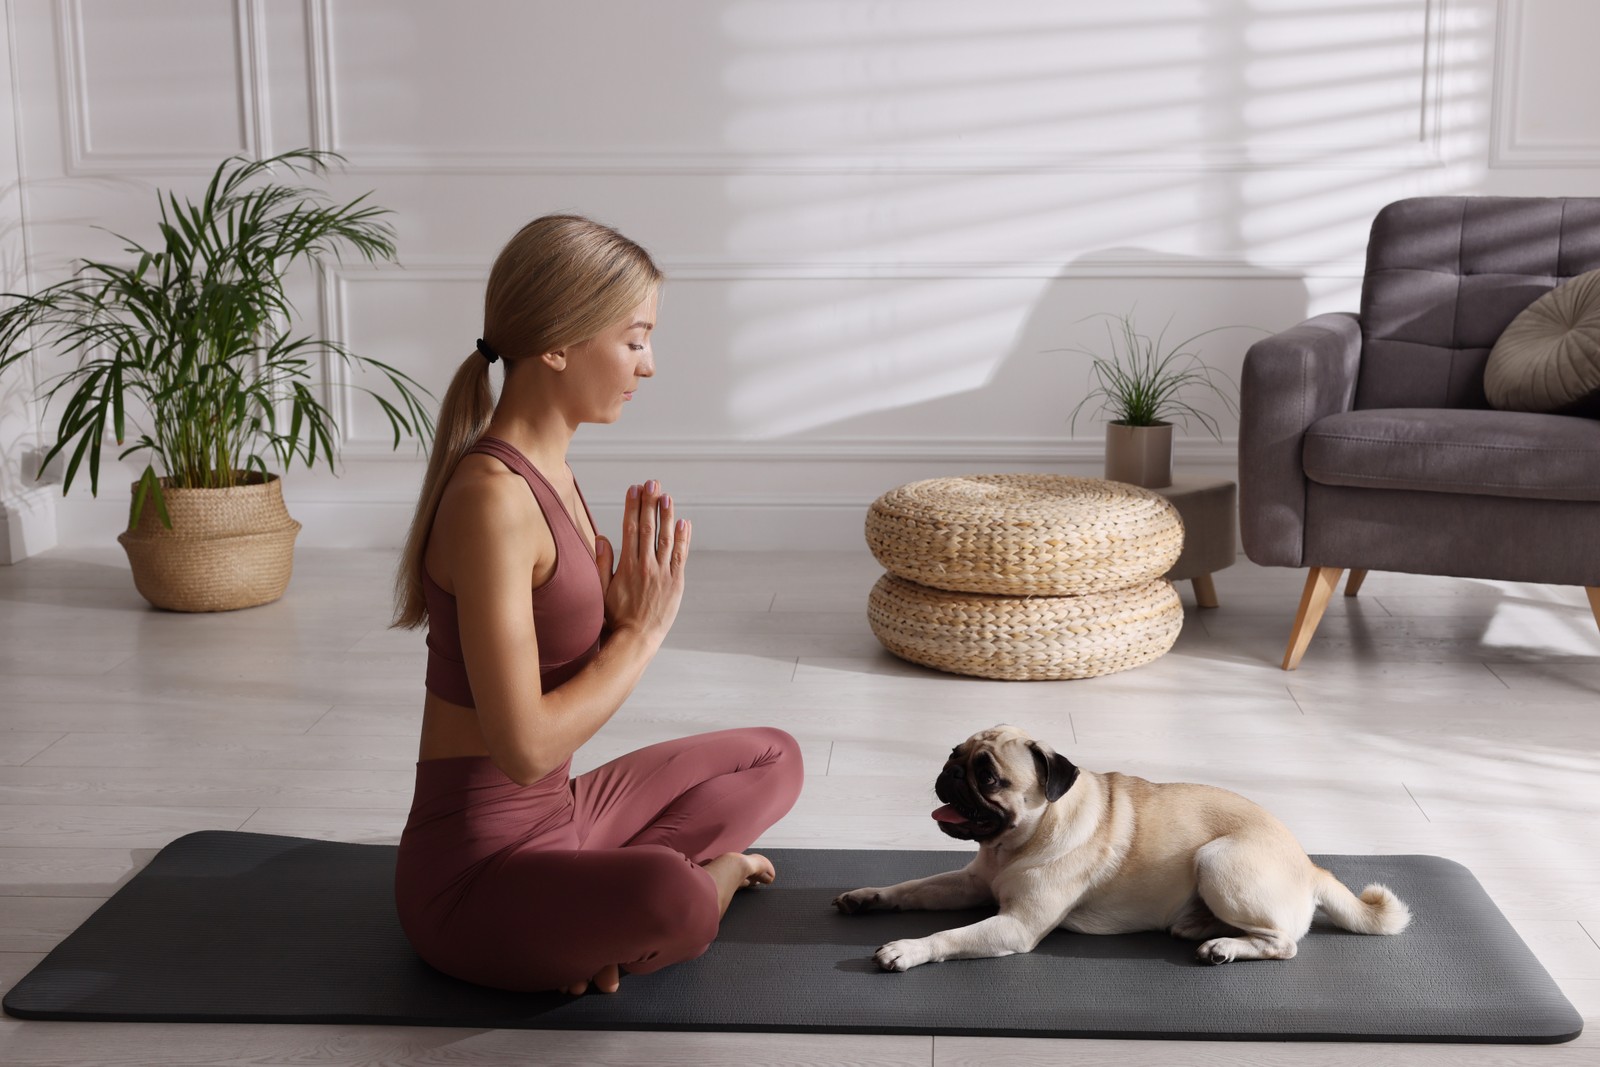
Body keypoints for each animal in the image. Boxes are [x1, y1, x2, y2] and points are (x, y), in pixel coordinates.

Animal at [832, 726, 1408, 966]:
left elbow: (948, 935)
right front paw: (869, 897)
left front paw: (908, 949)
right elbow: (914, 887)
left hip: (1218, 859)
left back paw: (1223, 946)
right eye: (955, 755)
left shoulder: (1014, 925)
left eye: (987, 777)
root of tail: (1312, 868)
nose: (949, 773)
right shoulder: (972, 883)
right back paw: (1203, 928)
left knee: (1283, 942)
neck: (1015, 845)